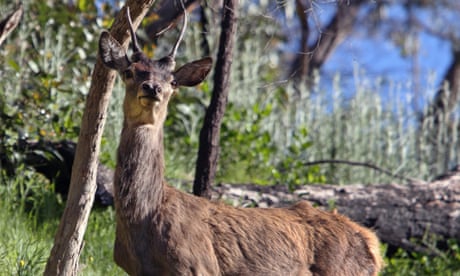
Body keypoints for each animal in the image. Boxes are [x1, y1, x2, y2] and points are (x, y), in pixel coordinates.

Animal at [100, 8, 384, 276]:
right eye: (129, 71)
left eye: (173, 81)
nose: (152, 87)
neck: (145, 221)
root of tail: (372, 244)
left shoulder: (197, 265)